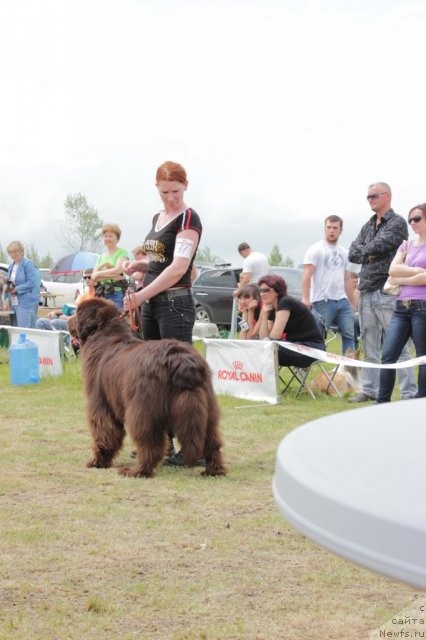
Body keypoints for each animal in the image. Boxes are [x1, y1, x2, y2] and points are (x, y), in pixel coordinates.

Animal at [73, 298, 226, 478]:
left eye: (75, 313)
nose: (68, 320)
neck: (106, 335)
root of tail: (181, 359)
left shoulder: (100, 403)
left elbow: (104, 434)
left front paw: (97, 463)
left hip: (143, 411)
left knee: (150, 445)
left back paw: (135, 471)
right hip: (206, 407)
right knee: (212, 442)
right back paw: (214, 471)